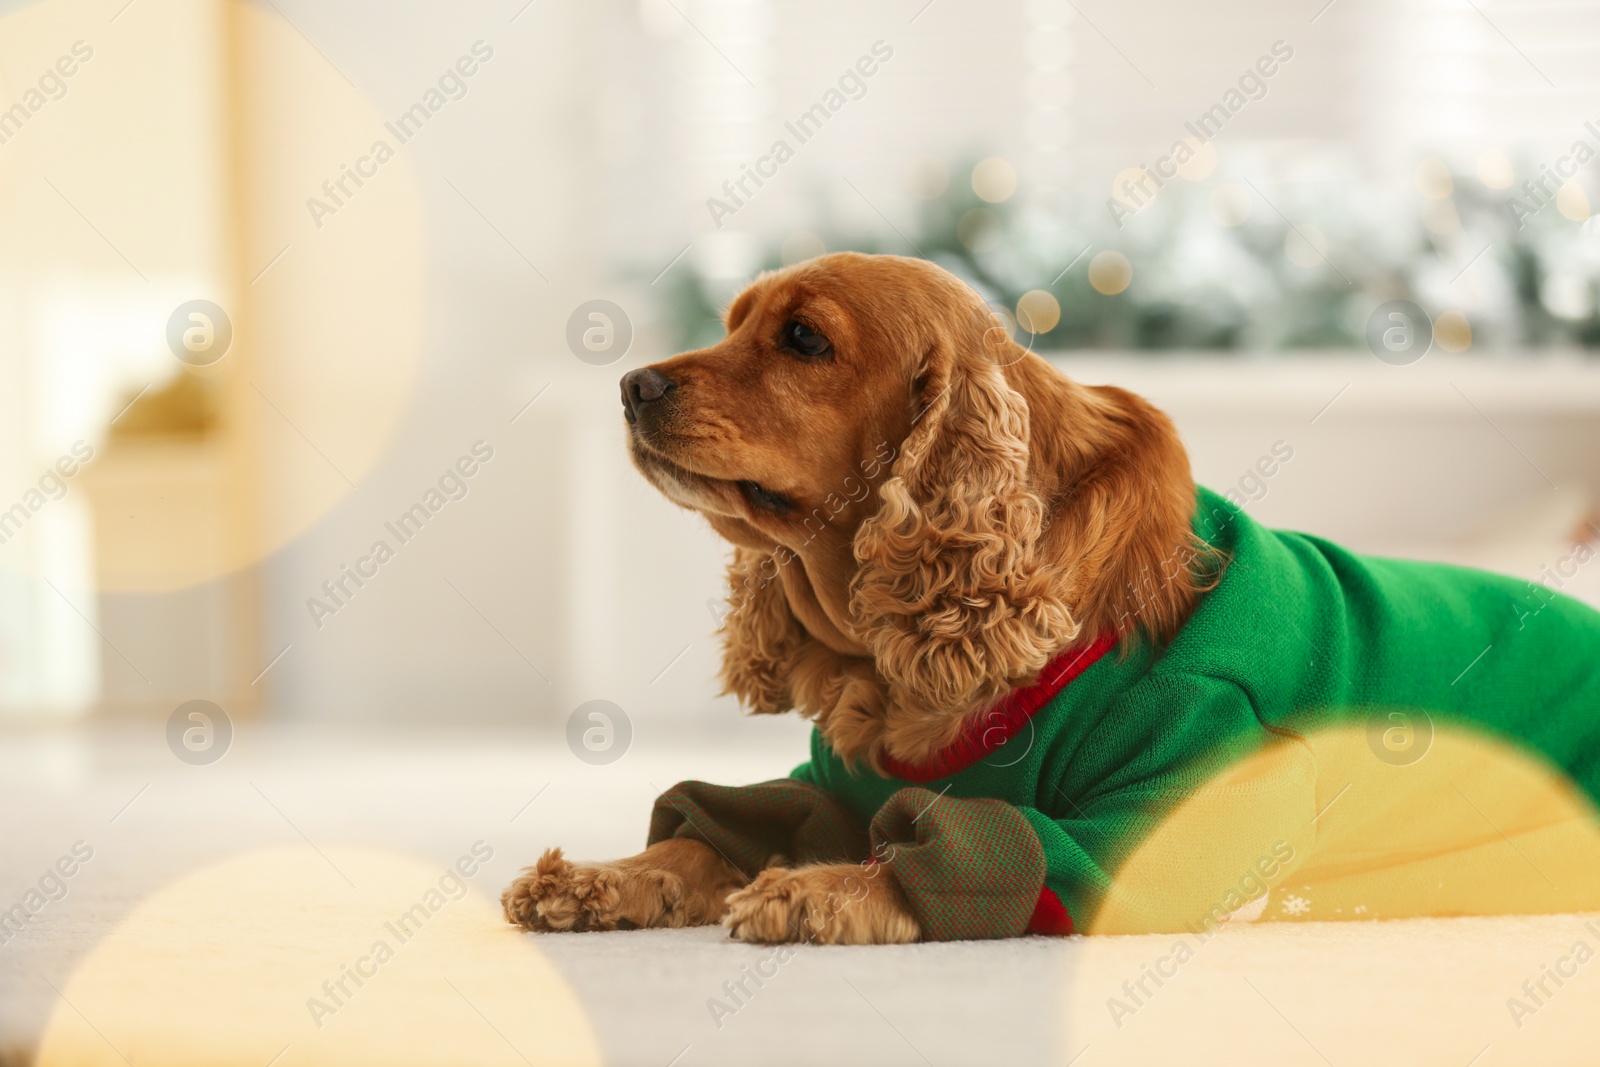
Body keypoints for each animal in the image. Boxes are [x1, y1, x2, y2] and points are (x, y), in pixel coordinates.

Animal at [505, 254, 1203, 947]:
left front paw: (810, 890)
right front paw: (601, 877)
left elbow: (934, 856)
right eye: (733, 325)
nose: (631, 386)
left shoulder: (1137, 830)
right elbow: (711, 835)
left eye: (804, 337)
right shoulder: (825, 783)